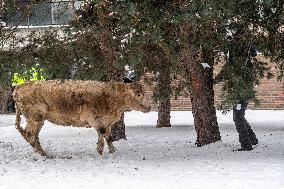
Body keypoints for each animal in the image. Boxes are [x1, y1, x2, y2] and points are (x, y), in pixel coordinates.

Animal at [13, 79, 151, 156]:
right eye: (138, 94)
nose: (149, 107)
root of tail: (20, 86)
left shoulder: (106, 122)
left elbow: (107, 135)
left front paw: (110, 150)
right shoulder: (95, 119)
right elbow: (103, 135)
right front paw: (102, 150)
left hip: (38, 119)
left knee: (31, 135)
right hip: (35, 116)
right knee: (30, 134)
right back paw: (43, 154)